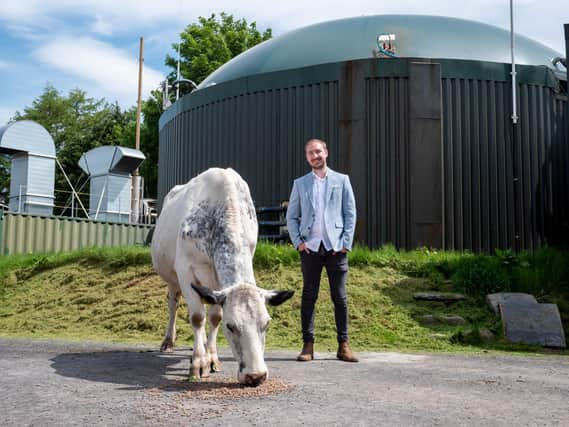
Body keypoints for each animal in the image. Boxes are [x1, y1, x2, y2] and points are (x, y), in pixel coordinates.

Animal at [151, 168, 292, 388]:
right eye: (231, 326)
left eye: (267, 324)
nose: (256, 376)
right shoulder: (185, 271)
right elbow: (197, 317)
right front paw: (198, 363)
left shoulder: (218, 284)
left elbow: (214, 317)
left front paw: (211, 358)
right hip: (171, 278)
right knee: (173, 303)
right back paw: (168, 341)